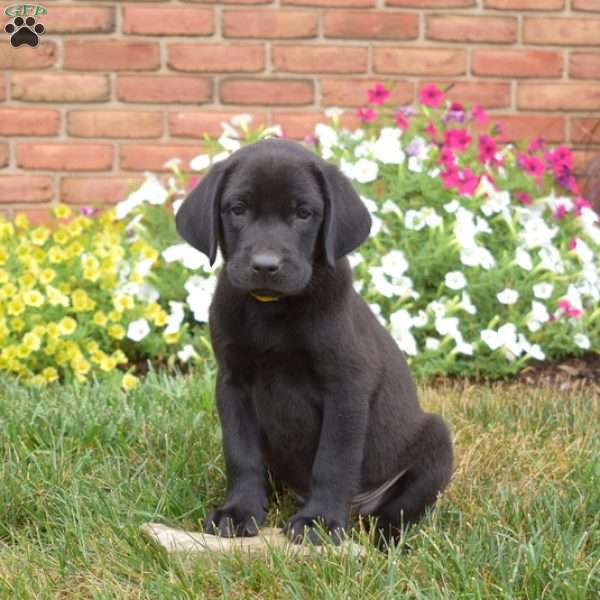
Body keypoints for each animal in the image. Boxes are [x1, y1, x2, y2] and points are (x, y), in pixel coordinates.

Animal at [176, 138, 452, 548]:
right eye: (238, 209)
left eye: (303, 213)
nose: (265, 265)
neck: (272, 311)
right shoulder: (232, 383)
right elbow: (241, 454)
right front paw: (239, 511)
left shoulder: (345, 388)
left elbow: (333, 460)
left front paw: (317, 521)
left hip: (437, 440)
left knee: (405, 507)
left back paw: (385, 535)